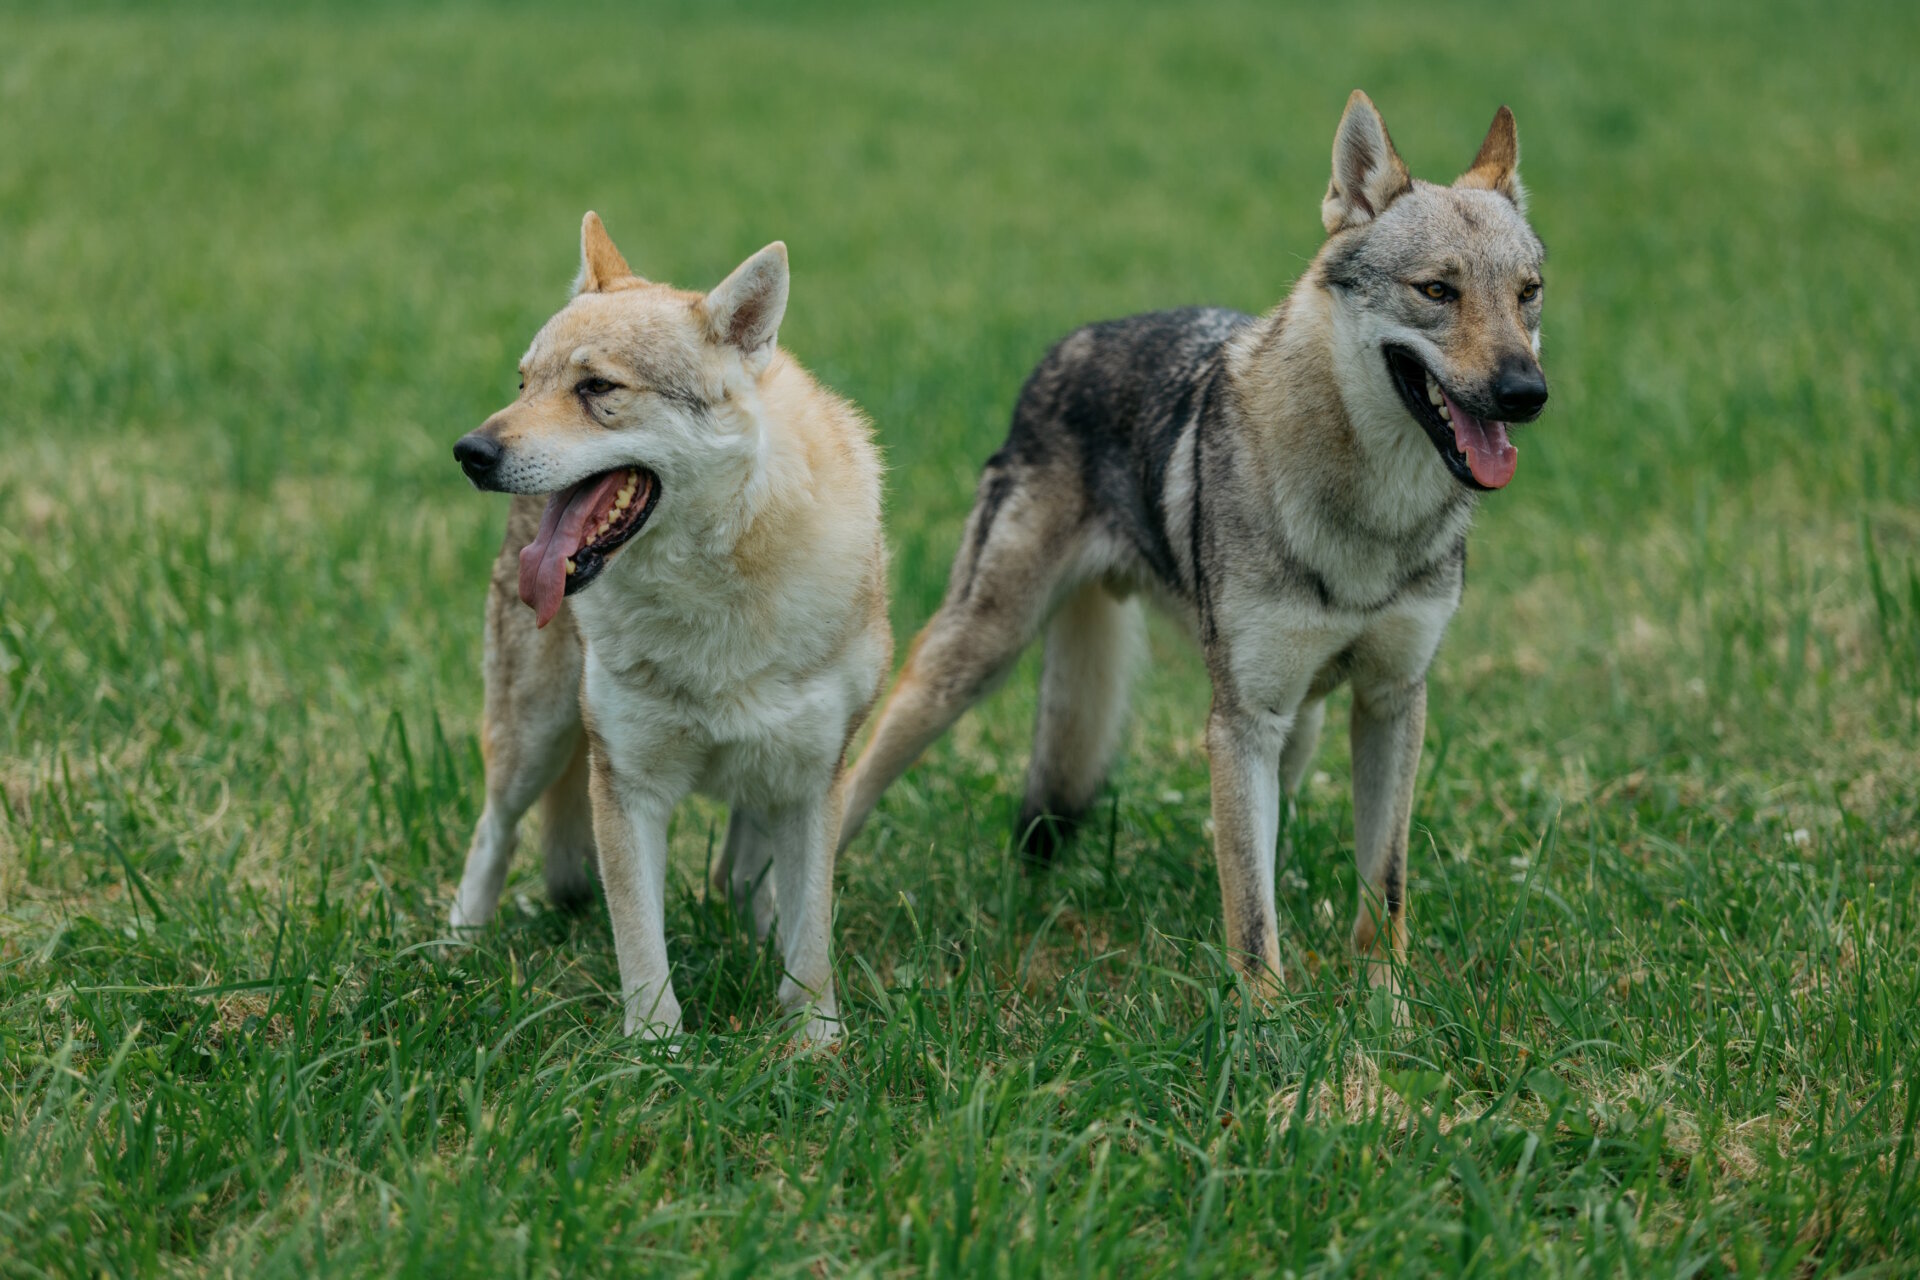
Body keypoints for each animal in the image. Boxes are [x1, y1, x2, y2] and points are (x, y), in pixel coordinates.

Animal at [450, 214, 891, 1043]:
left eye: (597, 388)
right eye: (525, 383)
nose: (470, 452)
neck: (715, 598)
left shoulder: (814, 781)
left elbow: (811, 937)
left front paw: (815, 1043)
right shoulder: (626, 783)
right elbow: (639, 945)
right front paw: (655, 1051)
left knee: (743, 881)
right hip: (536, 737)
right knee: (493, 833)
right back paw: (451, 953)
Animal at [837, 93, 1548, 1010]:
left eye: (1527, 295)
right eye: (1438, 291)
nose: (1527, 393)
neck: (1372, 516)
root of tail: (1070, 342)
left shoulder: (1393, 702)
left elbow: (1382, 889)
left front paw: (1387, 1013)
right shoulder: (1239, 724)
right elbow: (1249, 914)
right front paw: (1272, 1026)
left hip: (1300, 727)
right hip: (972, 659)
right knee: (849, 785)